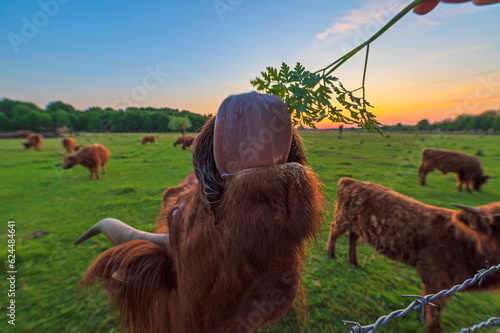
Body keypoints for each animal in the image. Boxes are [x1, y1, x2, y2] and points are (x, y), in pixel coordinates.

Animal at [326, 178, 500, 332]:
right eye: (494, 227)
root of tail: (350, 181)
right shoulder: (436, 278)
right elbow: (433, 314)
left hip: (357, 224)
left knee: (353, 238)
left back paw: (354, 262)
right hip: (343, 218)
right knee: (334, 230)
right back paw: (331, 254)